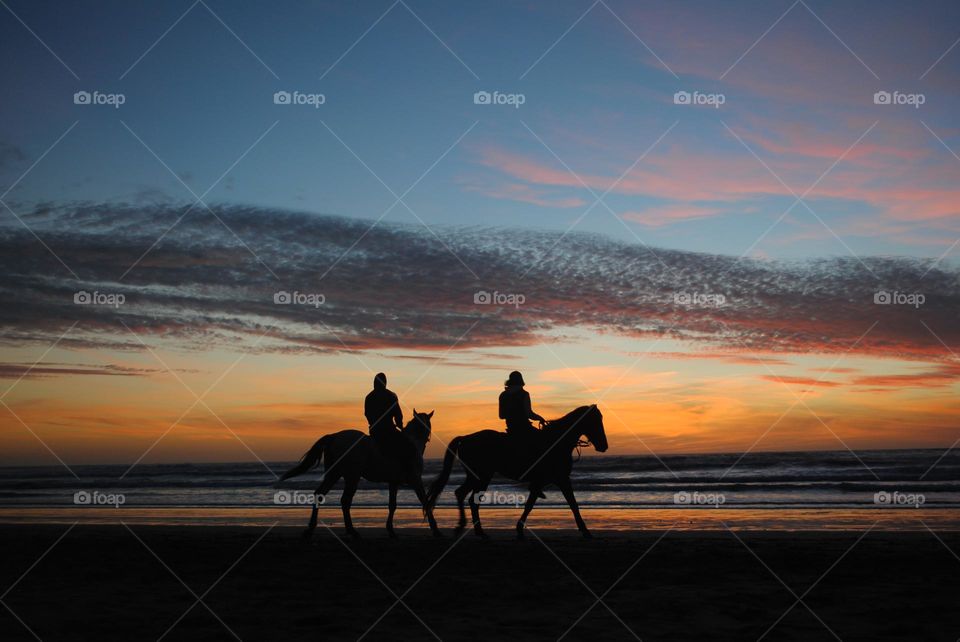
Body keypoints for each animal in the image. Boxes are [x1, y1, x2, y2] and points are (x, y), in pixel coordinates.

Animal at [280, 410, 440, 536]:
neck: (413, 442)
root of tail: (334, 436)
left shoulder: (393, 483)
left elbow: (392, 505)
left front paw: (390, 529)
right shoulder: (415, 480)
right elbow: (425, 501)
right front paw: (435, 529)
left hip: (334, 474)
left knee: (320, 494)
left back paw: (311, 528)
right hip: (352, 476)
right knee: (345, 501)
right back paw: (351, 530)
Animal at [428, 404, 608, 536]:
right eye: (595, 421)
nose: (603, 446)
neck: (556, 441)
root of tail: (465, 438)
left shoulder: (546, 481)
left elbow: (533, 504)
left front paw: (519, 528)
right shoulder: (560, 479)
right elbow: (571, 504)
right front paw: (585, 531)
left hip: (477, 477)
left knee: (463, 495)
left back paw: (470, 529)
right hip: (481, 476)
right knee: (470, 499)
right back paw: (475, 530)